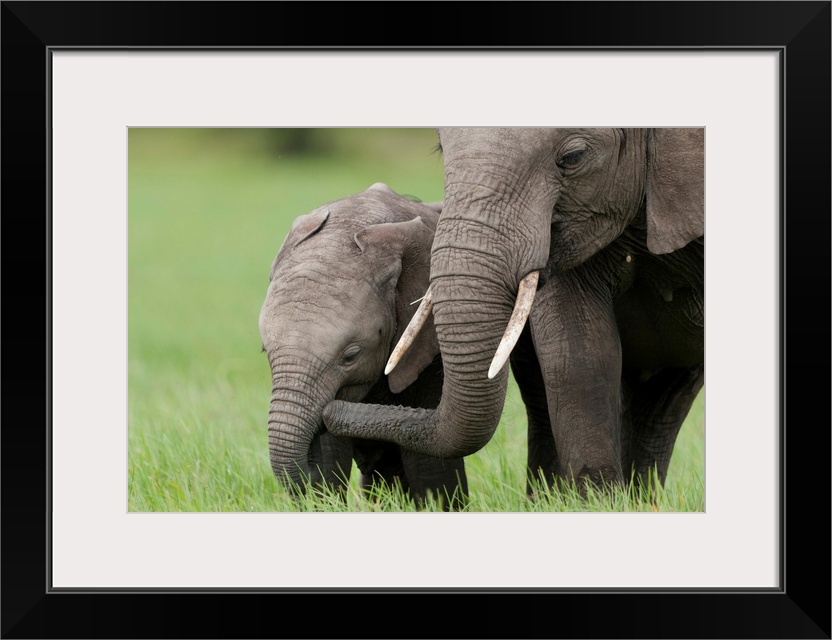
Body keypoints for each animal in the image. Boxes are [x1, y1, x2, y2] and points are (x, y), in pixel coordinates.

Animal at [258, 184, 468, 510]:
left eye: (350, 357)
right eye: (265, 351)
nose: (328, 415)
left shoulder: (429, 345)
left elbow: (430, 467)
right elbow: (330, 456)